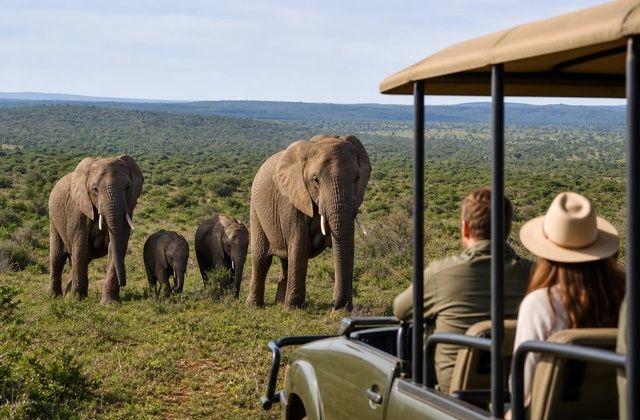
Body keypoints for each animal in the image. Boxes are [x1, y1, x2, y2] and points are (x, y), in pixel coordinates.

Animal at [48, 155, 143, 304]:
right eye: (95, 189)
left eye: (128, 187)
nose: (123, 283)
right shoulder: (78, 210)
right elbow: (80, 245)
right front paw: (77, 301)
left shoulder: (128, 207)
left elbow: (117, 245)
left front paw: (109, 304)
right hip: (53, 219)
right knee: (58, 258)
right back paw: (54, 297)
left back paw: (67, 296)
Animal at [246, 134, 371, 310]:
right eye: (315, 180)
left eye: (357, 179)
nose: (335, 304)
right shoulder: (292, 199)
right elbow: (300, 245)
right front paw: (293, 309)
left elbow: (348, 244)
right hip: (256, 209)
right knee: (261, 258)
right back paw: (254, 306)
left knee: (285, 260)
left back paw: (279, 303)